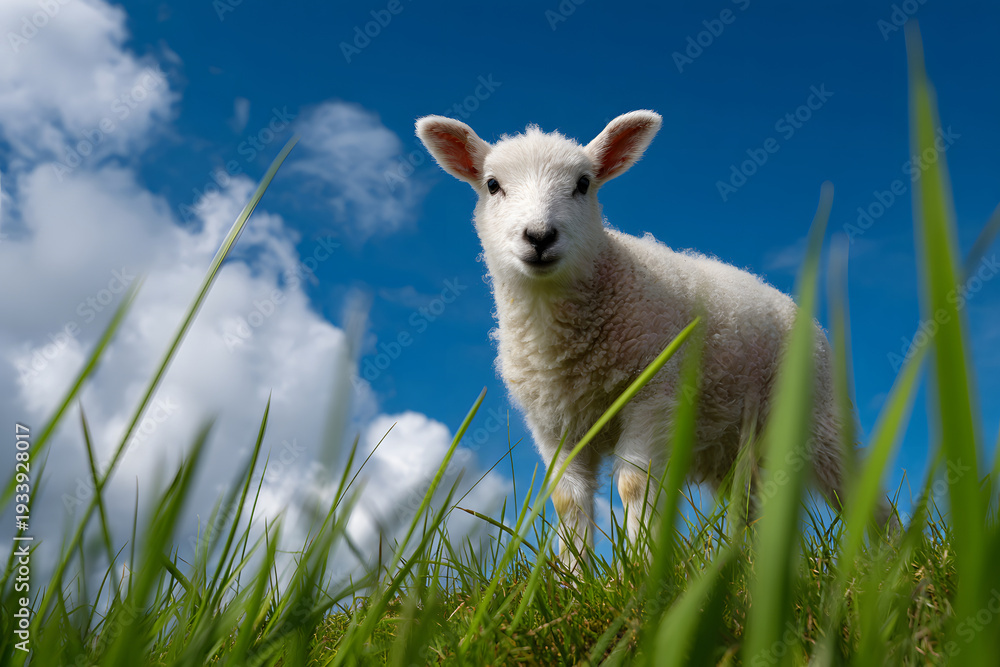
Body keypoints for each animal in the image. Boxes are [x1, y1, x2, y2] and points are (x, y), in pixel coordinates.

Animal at [416, 110, 863, 569]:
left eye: (583, 183)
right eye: (492, 185)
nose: (539, 236)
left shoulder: (653, 393)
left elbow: (635, 484)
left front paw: (640, 569)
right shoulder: (553, 424)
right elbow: (567, 499)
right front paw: (572, 574)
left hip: (817, 420)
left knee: (856, 491)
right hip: (729, 448)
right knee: (748, 505)